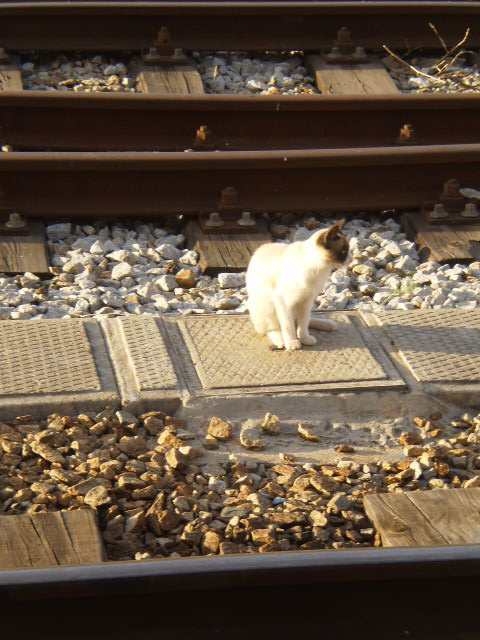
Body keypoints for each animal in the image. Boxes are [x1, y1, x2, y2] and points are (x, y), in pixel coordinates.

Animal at [248, 220, 348, 350]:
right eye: (344, 251)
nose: (350, 259)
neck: (320, 270)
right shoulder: (284, 301)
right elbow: (288, 325)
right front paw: (292, 342)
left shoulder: (307, 300)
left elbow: (303, 323)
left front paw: (304, 339)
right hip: (267, 307)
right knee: (272, 328)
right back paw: (281, 341)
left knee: (304, 320)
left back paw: (328, 324)